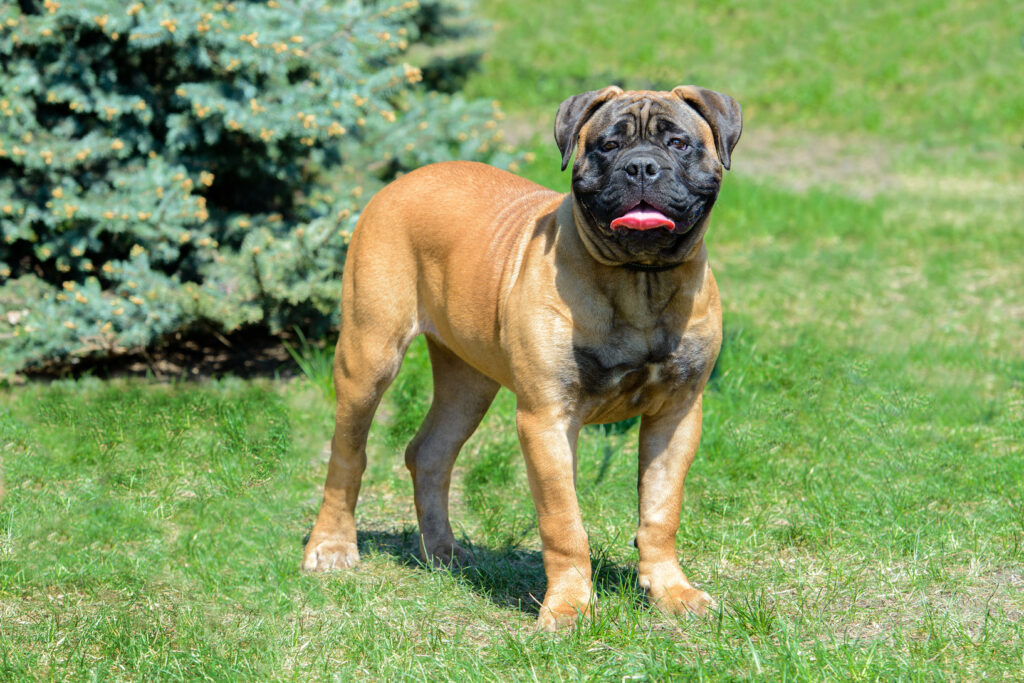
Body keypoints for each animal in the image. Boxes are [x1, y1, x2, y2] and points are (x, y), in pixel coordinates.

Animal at [299, 83, 741, 630]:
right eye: (608, 146)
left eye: (679, 144)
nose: (641, 166)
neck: (639, 280)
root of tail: (401, 180)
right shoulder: (547, 419)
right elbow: (563, 521)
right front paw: (569, 606)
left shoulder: (676, 414)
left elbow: (661, 510)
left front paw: (671, 592)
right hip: (369, 356)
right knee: (348, 454)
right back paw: (332, 547)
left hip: (468, 382)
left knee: (430, 452)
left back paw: (442, 552)